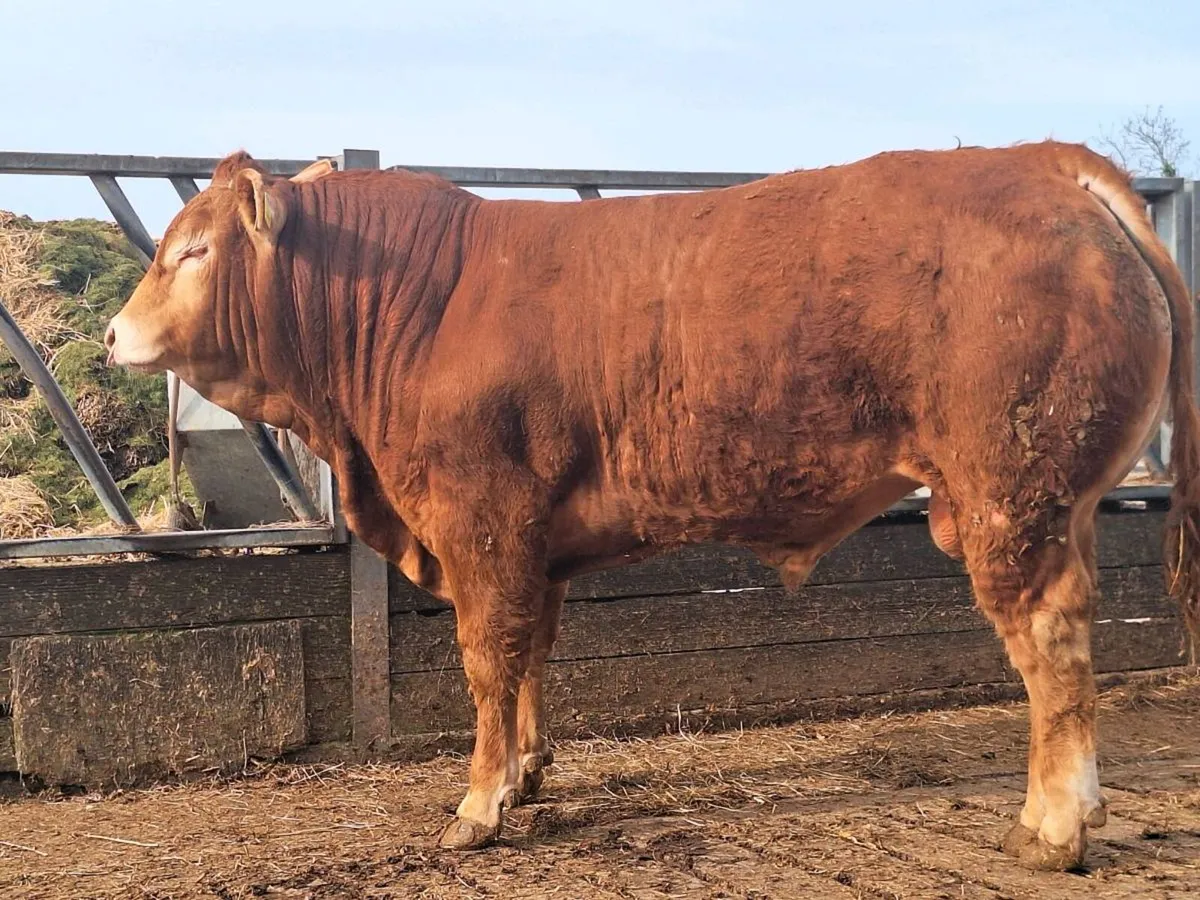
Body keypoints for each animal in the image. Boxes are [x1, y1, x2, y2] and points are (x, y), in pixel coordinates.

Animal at [106, 141, 1200, 871]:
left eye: (193, 252)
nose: (114, 333)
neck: (427, 299)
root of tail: (1046, 164)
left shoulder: (481, 523)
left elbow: (487, 660)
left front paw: (479, 804)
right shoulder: (536, 543)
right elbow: (533, 653)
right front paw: (529, 770)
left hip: (1011, 498)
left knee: (1053, 647)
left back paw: (1054, 827)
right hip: (1057, 502)